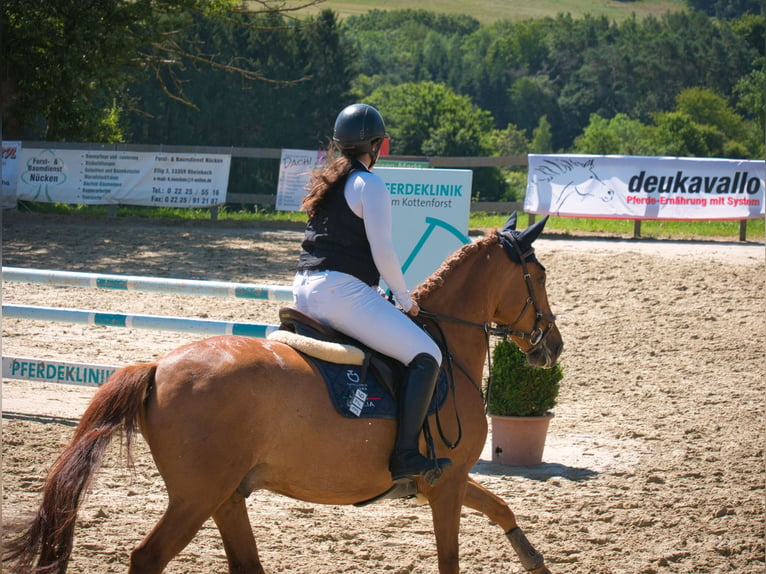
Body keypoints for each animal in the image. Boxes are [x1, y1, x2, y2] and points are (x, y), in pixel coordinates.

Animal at [6, 213, 564, 574]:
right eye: (537, 276)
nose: (551, 345)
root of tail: (158, 365)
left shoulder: (449, 478)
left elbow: (502, 508)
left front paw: (534, 558)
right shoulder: (445, 483)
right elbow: (452, 557)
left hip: (225, 494)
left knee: (245, 564)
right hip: (197, 496)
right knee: (147, 558)